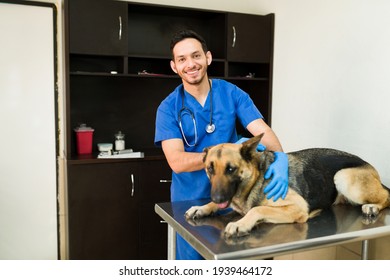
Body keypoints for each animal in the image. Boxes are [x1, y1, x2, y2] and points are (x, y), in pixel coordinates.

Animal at [184, 134, 390, 238]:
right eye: (210, 169)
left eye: (230, 169)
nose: (217, 197)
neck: (256, 178)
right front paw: (202, 207)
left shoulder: (297, 207)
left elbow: (257, 209)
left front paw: (240, 223)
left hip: (342, 177)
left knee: (386, 197)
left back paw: (372, 206)